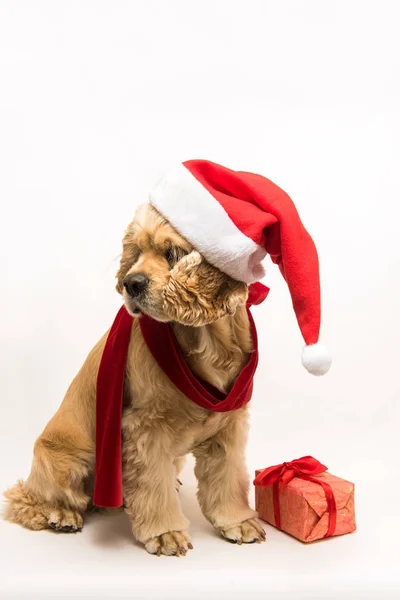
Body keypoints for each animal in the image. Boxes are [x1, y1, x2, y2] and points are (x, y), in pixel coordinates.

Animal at [3, 204, 266, 556]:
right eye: (136, 253)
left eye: (172, 253)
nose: (131, 283)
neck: (207, 340)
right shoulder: (146, 429)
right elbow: (153, 488)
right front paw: (165, 534)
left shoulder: (229, 426)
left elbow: (228, 478)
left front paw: (238, 522)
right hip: (62, 461)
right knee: (29, 499)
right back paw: (61, 514)